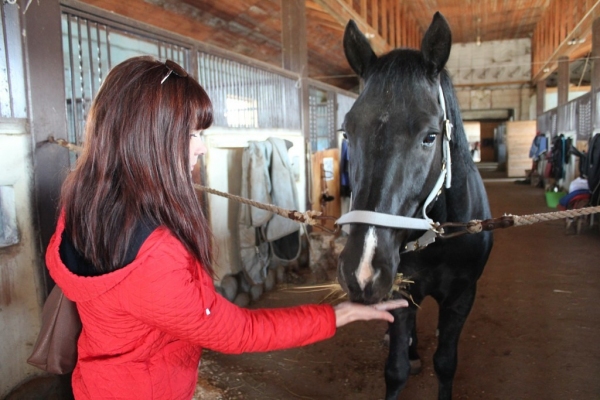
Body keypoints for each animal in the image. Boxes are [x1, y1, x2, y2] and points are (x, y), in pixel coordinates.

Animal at [337, 12, 494, 400]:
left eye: (430, 136)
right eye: (347, 132)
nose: (361, 270)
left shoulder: (462, 296)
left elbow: (446, 363)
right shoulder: (401, 291)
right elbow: (396, 370)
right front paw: (405, 354)